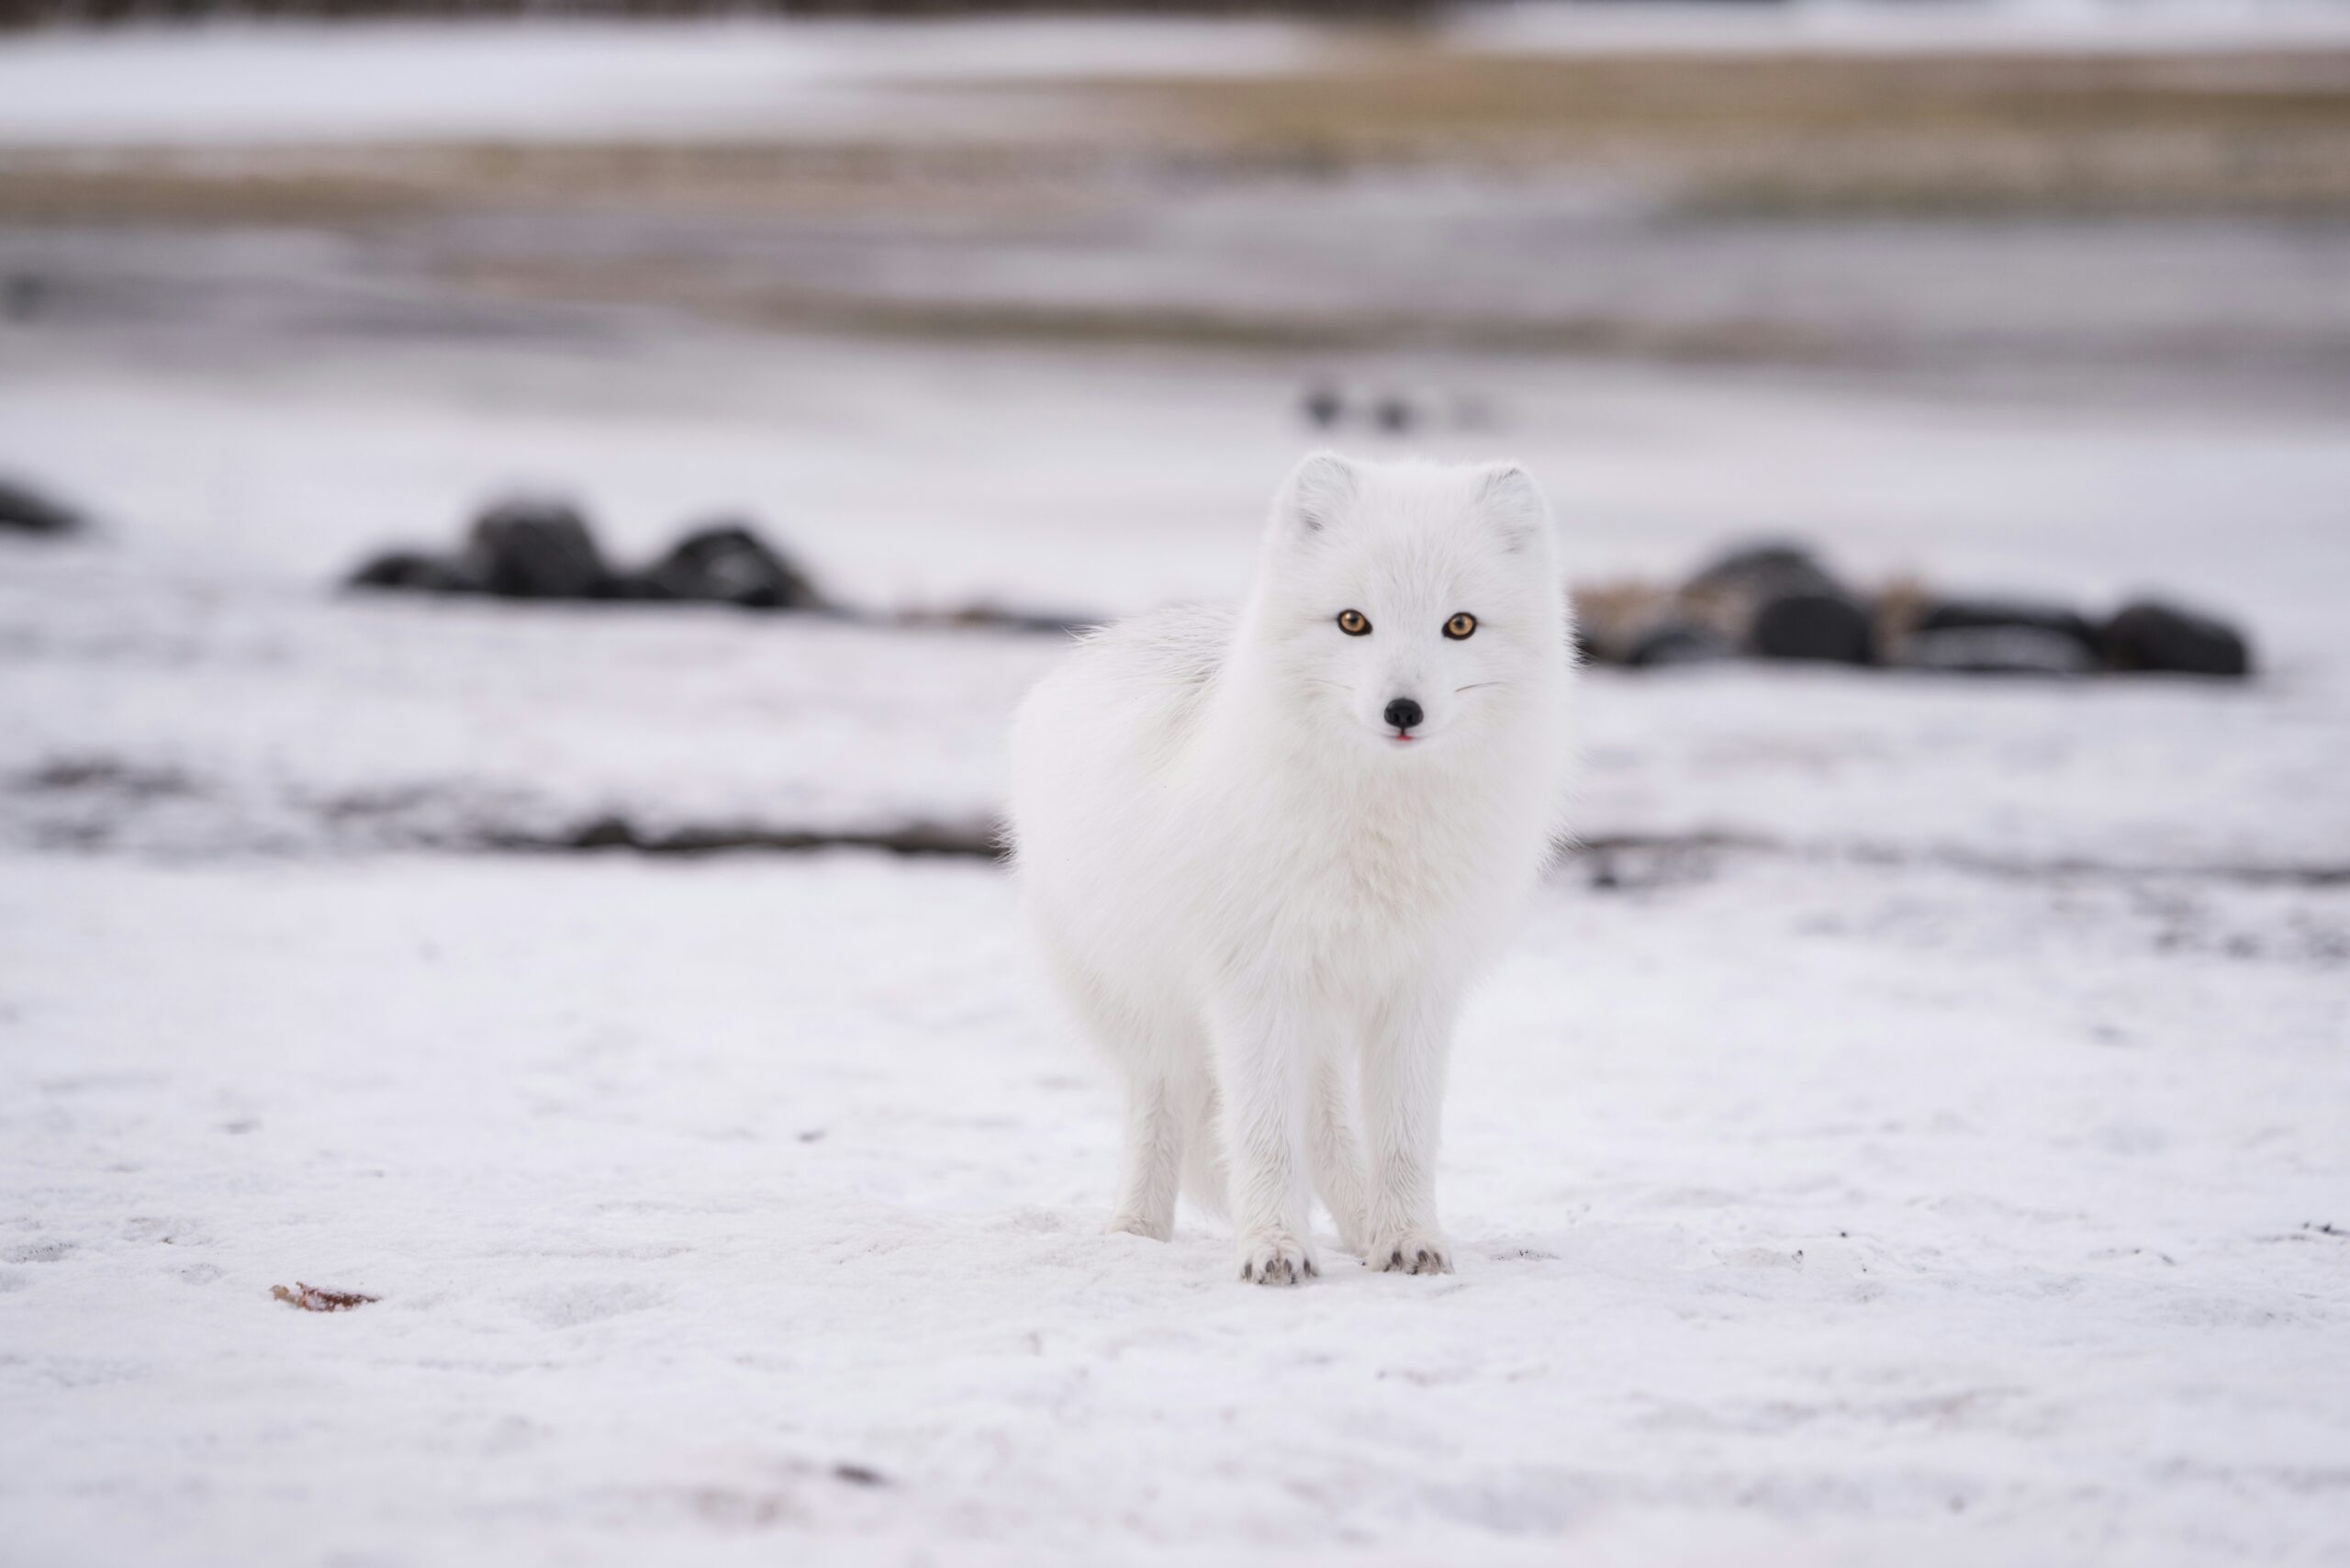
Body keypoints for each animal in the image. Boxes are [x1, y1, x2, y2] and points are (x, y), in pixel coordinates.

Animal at [1001, 454, 1570, 1288]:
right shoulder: (1253, 985)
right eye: (1353, 621)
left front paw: (1408, 1240)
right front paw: (1272, 1249)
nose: (1403, 710)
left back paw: (1363, 1231)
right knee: (1161, 1110)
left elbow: (1403, 1138)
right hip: (1149, 1013)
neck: (1377, 828)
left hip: (1319, 1027)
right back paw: (1137, 1232)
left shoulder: (1418, 988)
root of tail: (1110, 639)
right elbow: (1264, 1136)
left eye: (1459, 624)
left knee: (1331, 1134)